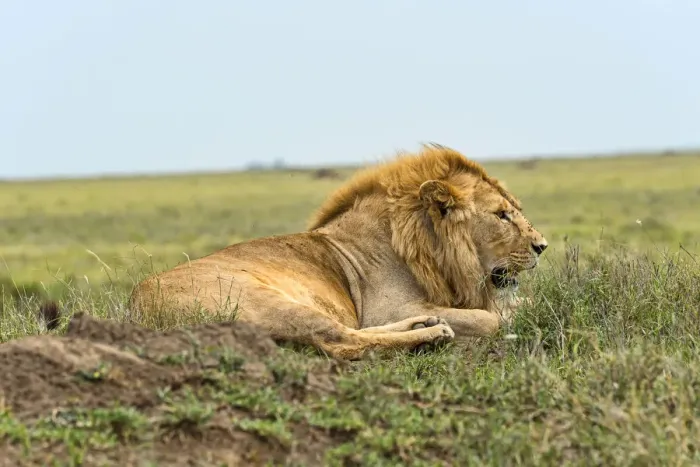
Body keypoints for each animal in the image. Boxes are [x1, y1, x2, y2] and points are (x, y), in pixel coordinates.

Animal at [129, 144, 548, 360]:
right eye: (502, 215)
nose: (542, 246)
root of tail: (138, 307)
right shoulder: (385, 307)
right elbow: (488, 319)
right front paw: (502, 325)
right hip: (268, 302)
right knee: (344, 340)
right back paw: (433, 333)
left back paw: (424, 326)